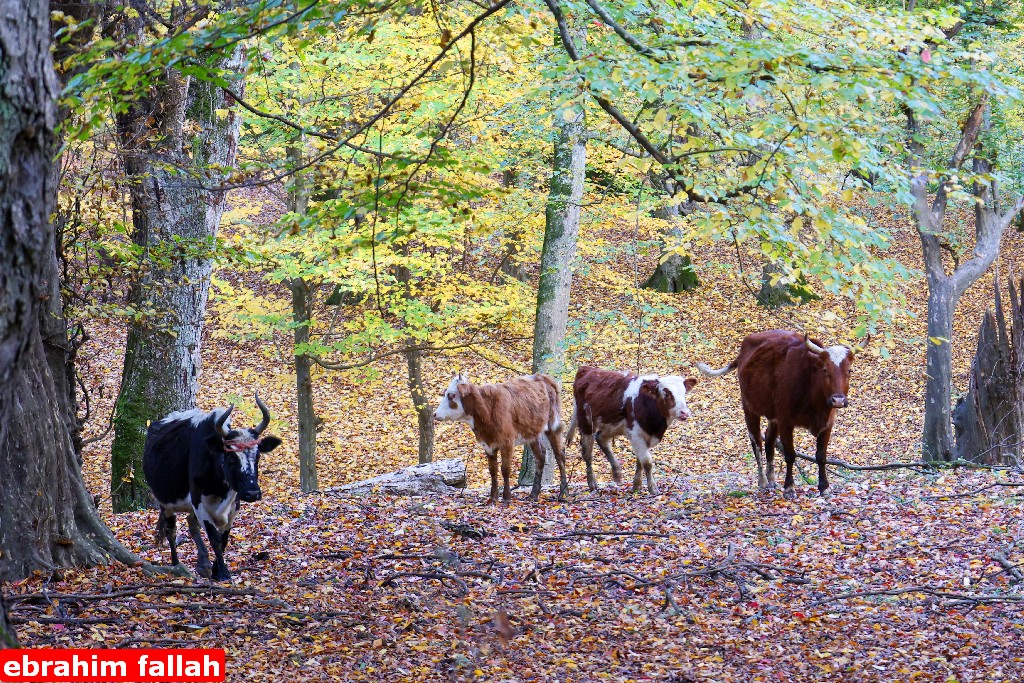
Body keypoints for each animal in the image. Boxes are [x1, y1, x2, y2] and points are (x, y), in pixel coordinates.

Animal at [143, 394, 281, 580]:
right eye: (231, 458)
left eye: (258, 456)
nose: (252, 493)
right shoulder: (199, 502)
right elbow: (214, 537)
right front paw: (222, 572)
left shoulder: (234, 505)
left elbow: (224, 538)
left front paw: (215, 569)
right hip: (165, 503)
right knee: (171, 530)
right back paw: (176, 564)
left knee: (191, 523)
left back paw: (203, 563)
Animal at [433, 373, 567, 504]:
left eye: (451, 395)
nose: (435, 414)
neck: (487, 410)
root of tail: (543, 377)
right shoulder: (488, 445)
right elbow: (493, 470)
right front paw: (493, 498)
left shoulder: (507, 442)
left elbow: (505, 469)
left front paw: (507, 497)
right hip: (532, 432)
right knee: (541, 456)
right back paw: (534, 494)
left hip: (553, 424)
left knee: (560, 455)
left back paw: (563, 494)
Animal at [566, 366, 697, 495]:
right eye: (666, 394)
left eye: (684, 393)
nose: (684, 412)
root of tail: (586, 369)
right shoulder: (636, 435)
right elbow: (647, 462)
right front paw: (653, 488)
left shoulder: (645, 435)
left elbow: (640, 461)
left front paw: (637, 485)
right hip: (586, 423)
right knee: (587, 453)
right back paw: (592, 483)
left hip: (613, 425)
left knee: (601, 438)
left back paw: (616, 472)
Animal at [696, 330, 865, 499]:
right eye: (825, 370)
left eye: (849, 370)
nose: (838, 400)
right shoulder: (786, 422)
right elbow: (790, 455)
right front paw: (789, 488)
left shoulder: (827, 424)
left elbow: (821, 456)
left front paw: (824, 487)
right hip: (749, 408)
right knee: (756, 442)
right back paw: (763, 481)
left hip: (773, 416)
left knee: (769, 440)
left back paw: (771, 479)